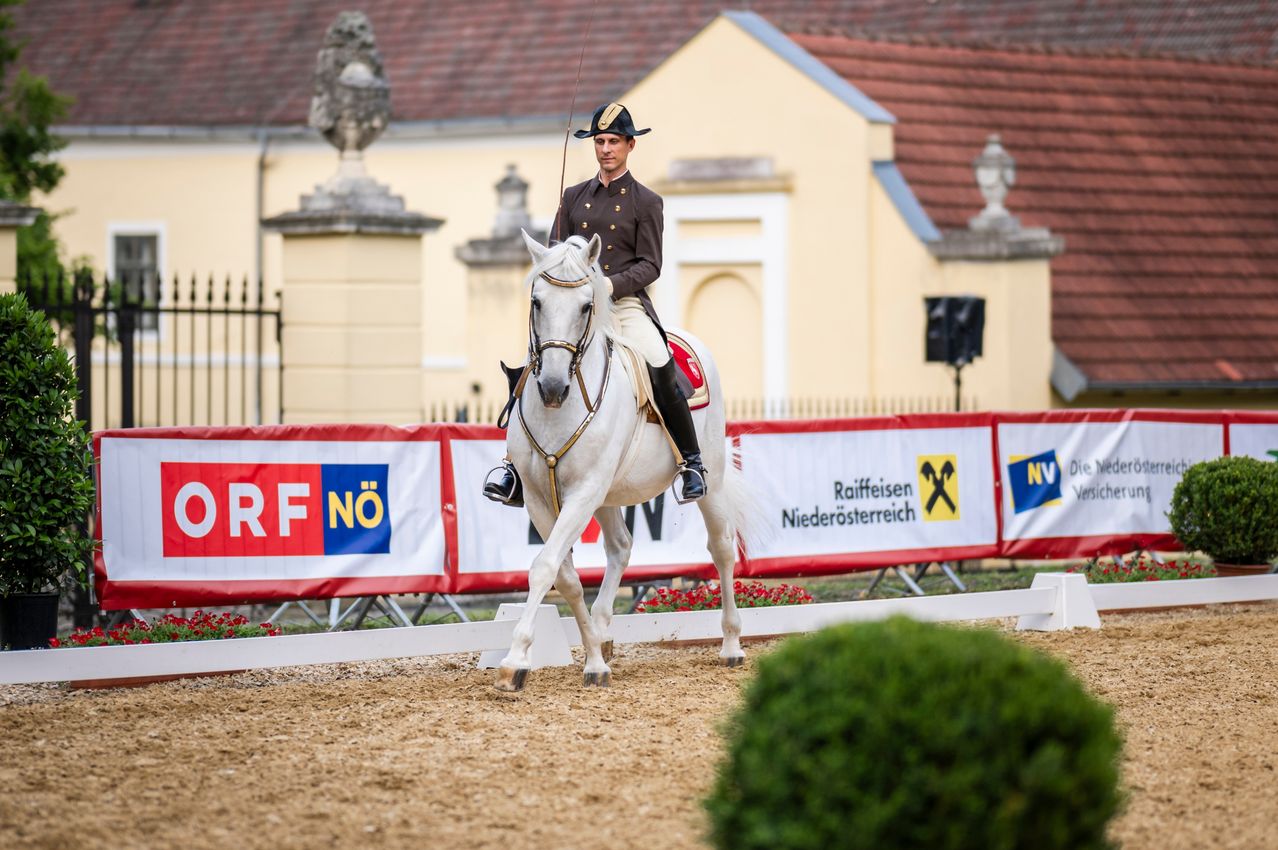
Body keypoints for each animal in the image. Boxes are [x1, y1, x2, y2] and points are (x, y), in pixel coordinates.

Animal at [491, 230, 755, 691]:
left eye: (586, 306)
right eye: (537, 301)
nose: (553, 387)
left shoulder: (583, 493)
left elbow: (544, 567)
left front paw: (515, 660)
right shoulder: (542, 499)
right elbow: (566, 577)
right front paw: (594, 660)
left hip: (711, 481)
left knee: (721, 549)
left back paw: (731, 645)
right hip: (609, 496)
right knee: (620, 547)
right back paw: (601, 634)